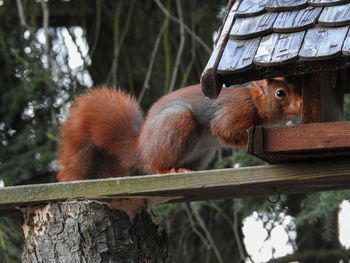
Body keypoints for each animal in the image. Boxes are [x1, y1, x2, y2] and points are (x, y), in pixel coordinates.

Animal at [57, 78, 300, 182]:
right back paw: (168, 171)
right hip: (176, 123)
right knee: (158, 166)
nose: (301, 104)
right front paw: (252, 134)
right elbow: (224, 130)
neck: (254, 102)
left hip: (204, 153)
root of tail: (142, 148)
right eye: (280, 93)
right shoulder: (233, 111)